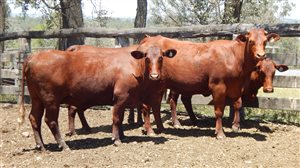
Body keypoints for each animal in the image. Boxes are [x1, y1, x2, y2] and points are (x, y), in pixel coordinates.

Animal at [17, 47, 177, 151]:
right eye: (147, 58)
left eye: (161, 57)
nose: (154, 75)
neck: (134, 68)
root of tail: (33, 56)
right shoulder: (120, 97)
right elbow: (116, 119)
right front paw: (116, 139)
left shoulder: (124, 100)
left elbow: (121, 118)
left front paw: (122, 136)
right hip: (51, 100)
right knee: (50, 121)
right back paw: (63, 145)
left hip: (36, 99)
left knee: (34, 118)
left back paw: (41, 145)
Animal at [135, 28, 280, 138]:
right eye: (251, 41)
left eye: (265, 41)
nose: (261, 55)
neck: (234, 57)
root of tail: (147, 40)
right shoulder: (218, 86)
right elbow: (219, 111)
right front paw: (220, 133)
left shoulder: (234, 88)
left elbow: (236, 104)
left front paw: (232, 126)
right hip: (152, 84)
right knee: (147, 106)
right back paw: (150, 130)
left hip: (160, 86)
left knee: (156, 105)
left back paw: (161, 128)